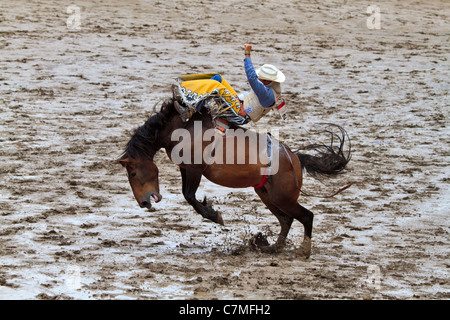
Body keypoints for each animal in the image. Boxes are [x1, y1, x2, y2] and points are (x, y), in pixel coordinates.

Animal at [117, 97, 352, 258]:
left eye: (133, 173)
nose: (144, 202)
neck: (182, 128)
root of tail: (295, 158)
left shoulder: (194, 169)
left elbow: (189, 196)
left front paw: (215, 215)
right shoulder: (186, 169)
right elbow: (188, 195)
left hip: (283, 197)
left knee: (306, 216)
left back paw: (303, 250)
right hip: (267, 195)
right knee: (287, 220)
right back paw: (272, 247)